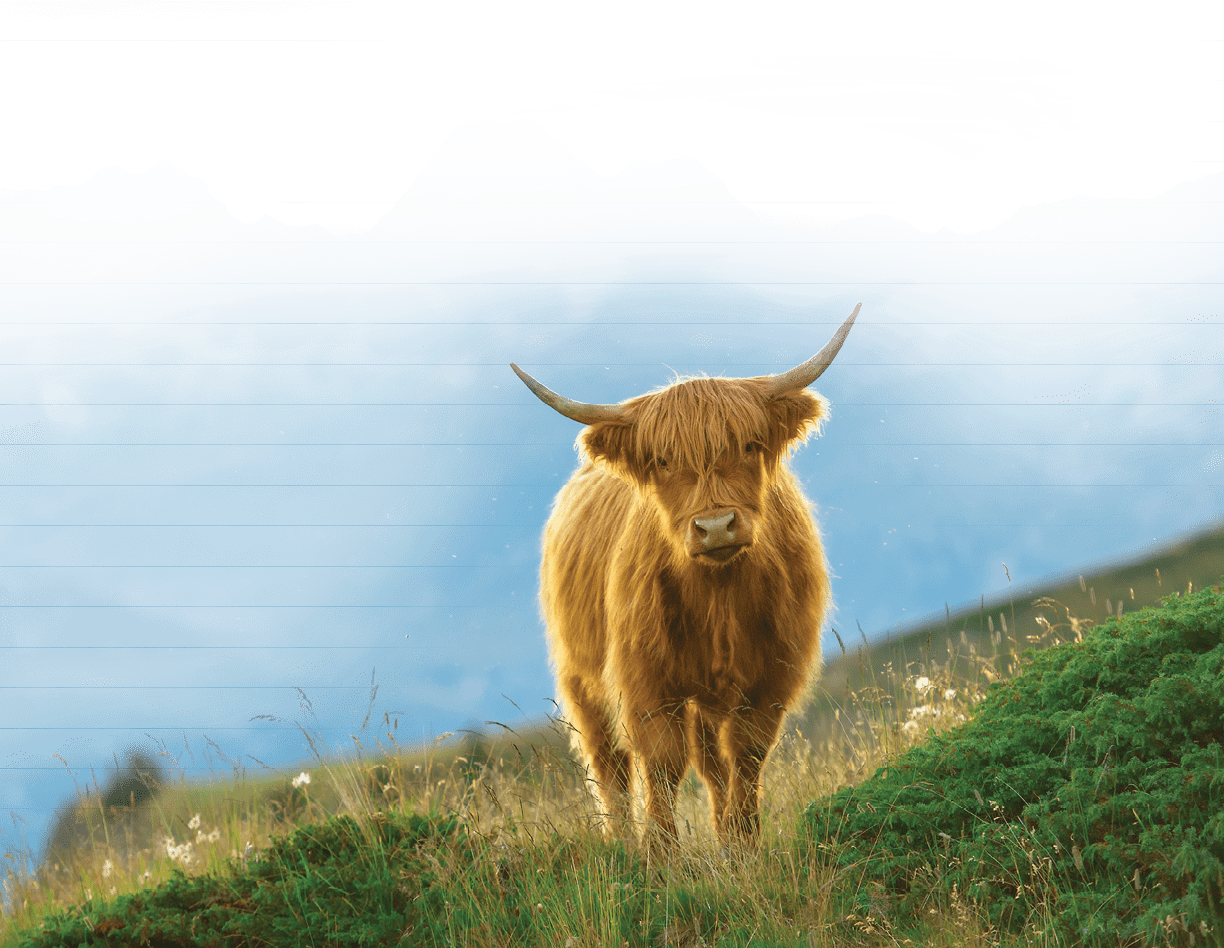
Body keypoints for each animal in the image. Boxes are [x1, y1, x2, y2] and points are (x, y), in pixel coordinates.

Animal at [510, 303, 859, 852]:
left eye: (750, 445)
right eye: (661, 461)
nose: (715, 526)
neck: (719, 596)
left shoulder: (771, 677)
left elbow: (746, 758)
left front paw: (743, 846)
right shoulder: (645, 682)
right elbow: (661, 764)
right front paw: (661, 855)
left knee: (712, 763)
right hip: (580, 678)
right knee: (610, 767)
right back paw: (621, 842)